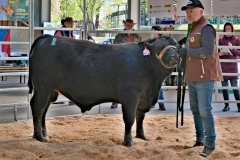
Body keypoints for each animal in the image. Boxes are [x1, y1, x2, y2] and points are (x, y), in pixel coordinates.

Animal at [27, 34, 178, 146]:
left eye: (176, 46)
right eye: (158, 48)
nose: (174, 56)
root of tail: (47, 37)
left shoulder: (143, 97)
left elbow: (140, 117)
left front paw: (141, 136)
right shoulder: (130, 95)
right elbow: (130, 119)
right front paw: (128, 142)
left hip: (51, 91)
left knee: (44, 110)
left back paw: (43, 134)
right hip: (43, 88)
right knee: (38, 108)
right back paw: (39, 137)